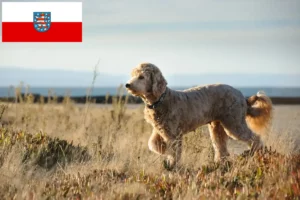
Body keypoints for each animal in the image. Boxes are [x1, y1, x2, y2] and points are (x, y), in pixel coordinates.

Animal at [125, 62, 274, 169]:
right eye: (132, 75)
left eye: (141, 77)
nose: (127, 84)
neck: (160, 99)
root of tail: (243, 97)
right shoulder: (160, 130)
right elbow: (153, 144)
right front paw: (164, 152)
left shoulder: (174, 135)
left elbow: (174, 152)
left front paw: (172, 165)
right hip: (217, 127)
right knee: (221, 148)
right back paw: (220, 163)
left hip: (234, 123)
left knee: (255, 138)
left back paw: (256, 153)